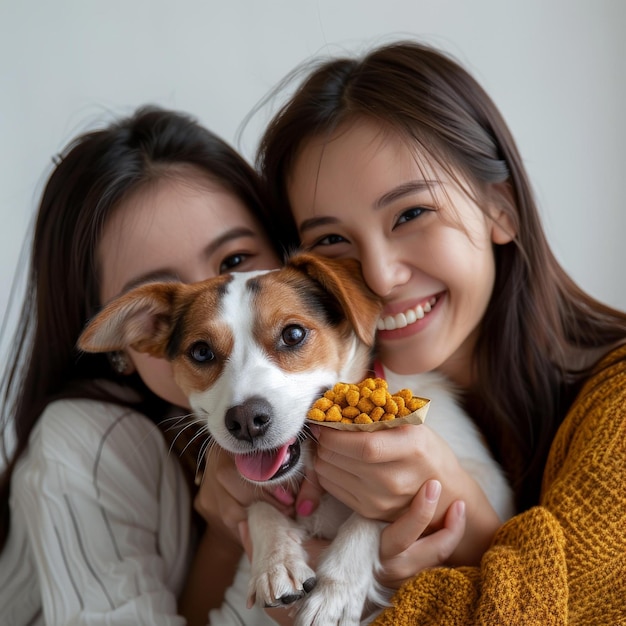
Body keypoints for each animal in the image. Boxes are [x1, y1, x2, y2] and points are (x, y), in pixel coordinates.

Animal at [78, 252, 512, 624]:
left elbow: (373, 510)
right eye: (201, 352)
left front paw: (337, 591)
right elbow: (259, 505)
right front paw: (275, 561)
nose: (246, 421)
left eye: (293, 334)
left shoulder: (485, 483)